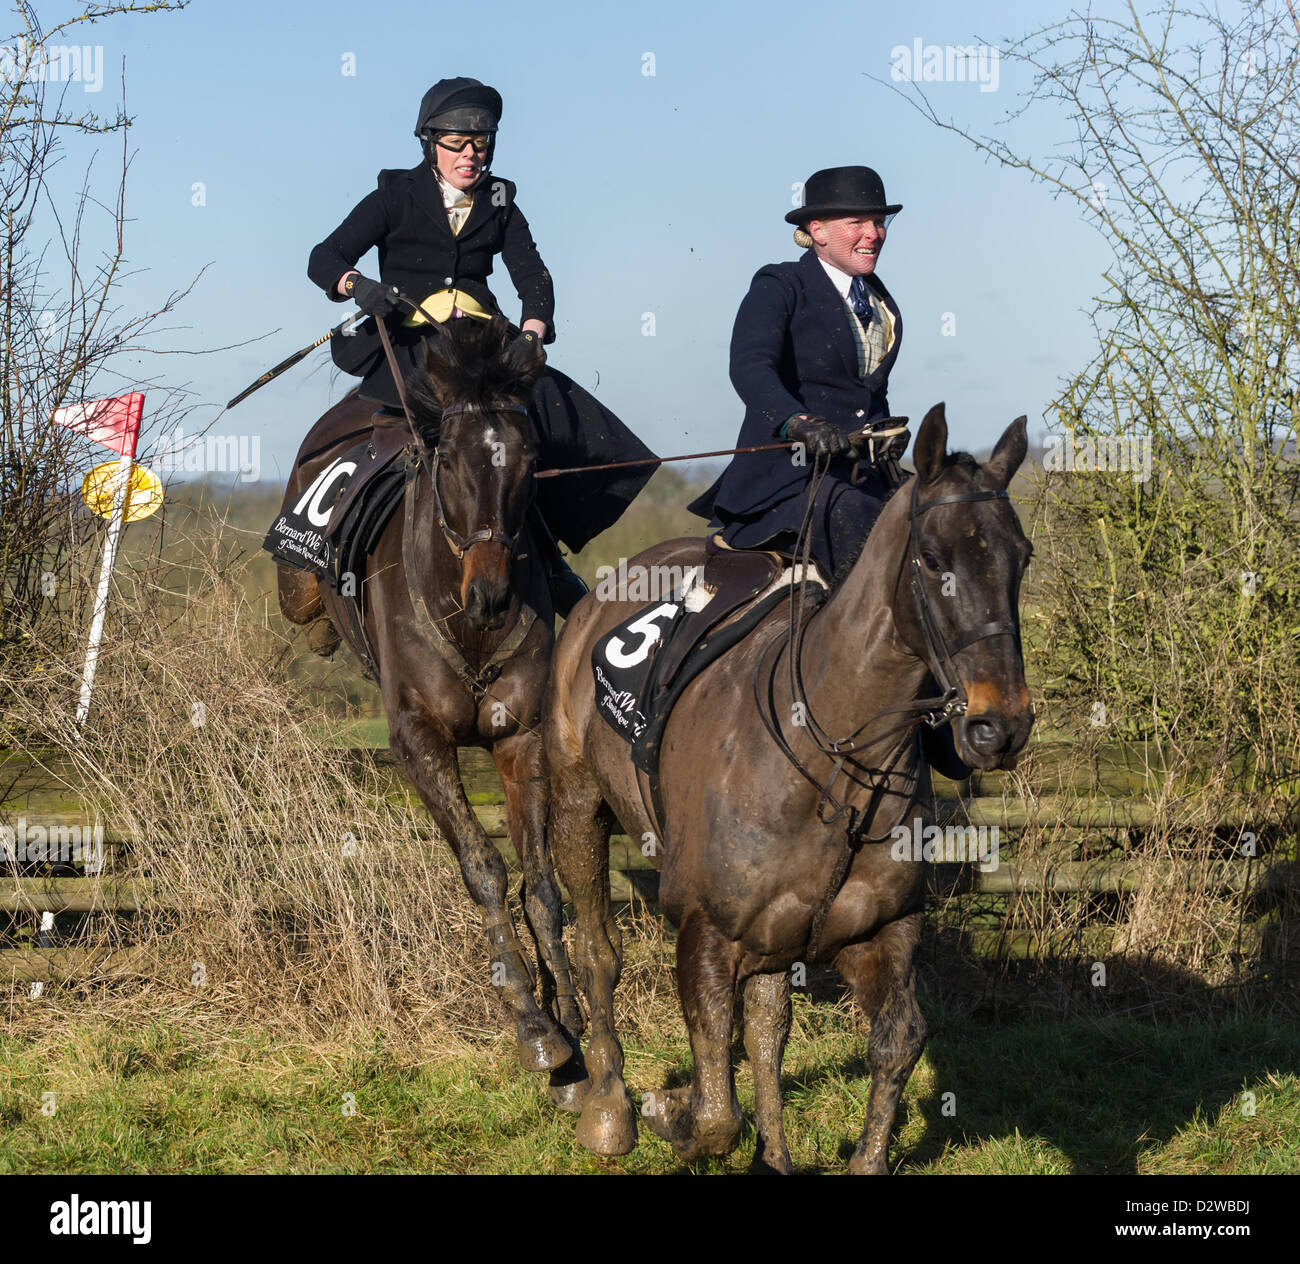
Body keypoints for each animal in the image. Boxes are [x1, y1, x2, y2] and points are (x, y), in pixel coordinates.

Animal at [279, 316, 585, 1097]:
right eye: (447, 461)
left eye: (529, 459)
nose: (493, 595)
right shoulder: (420, 744)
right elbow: (485, 868)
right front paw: (532, 1023)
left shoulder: (521, 740)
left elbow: (541, 883)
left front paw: (571, 1014)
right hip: (299, 581)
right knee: (302, 602)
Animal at [543, 408, 1029, 1175]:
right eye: (931, 558)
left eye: (1022, 557)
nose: (999, 727)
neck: (835, 763)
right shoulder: (706, 938)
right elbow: (716, 1111)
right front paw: (668, 1111)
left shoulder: (883, 932)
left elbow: (894, 1042)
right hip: (576, 804)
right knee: (596, 950)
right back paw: (609, 1108)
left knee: (769, 1021)